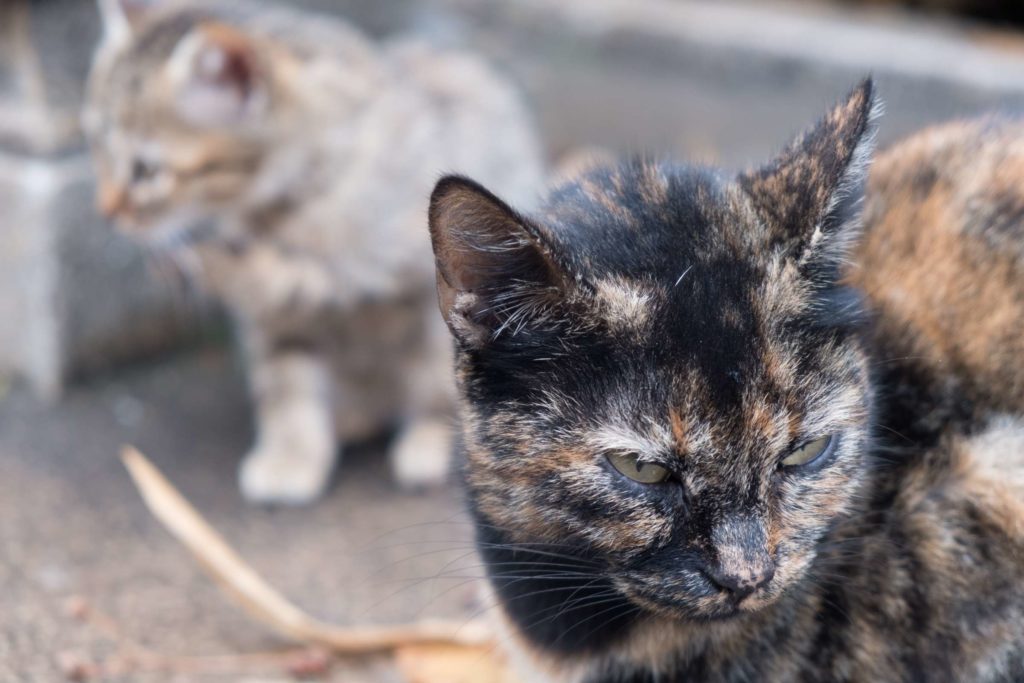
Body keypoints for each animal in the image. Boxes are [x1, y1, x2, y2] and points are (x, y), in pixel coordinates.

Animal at [83, 0, 544, 501]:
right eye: (96, 146)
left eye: (146, 171)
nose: (106, 211)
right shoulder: (273, 320)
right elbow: (285, 378)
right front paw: (291, 455)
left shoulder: (417, 276)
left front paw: (429, 440)